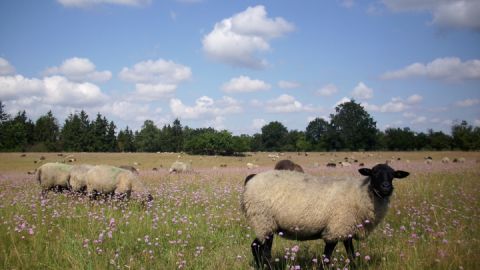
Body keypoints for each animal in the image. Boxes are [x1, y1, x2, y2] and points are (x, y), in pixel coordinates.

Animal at [240, 162, 408, 268]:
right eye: (374, 174)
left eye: (393, 175)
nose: (386, 187)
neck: (361, 193)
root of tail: (252, 179)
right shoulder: (336, 228)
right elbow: (327, 257)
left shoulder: (346, 228)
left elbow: (351, 254)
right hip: (264, 220)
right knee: (265, 252)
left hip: (264, 224)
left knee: (255, 246)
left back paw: (260, 267)